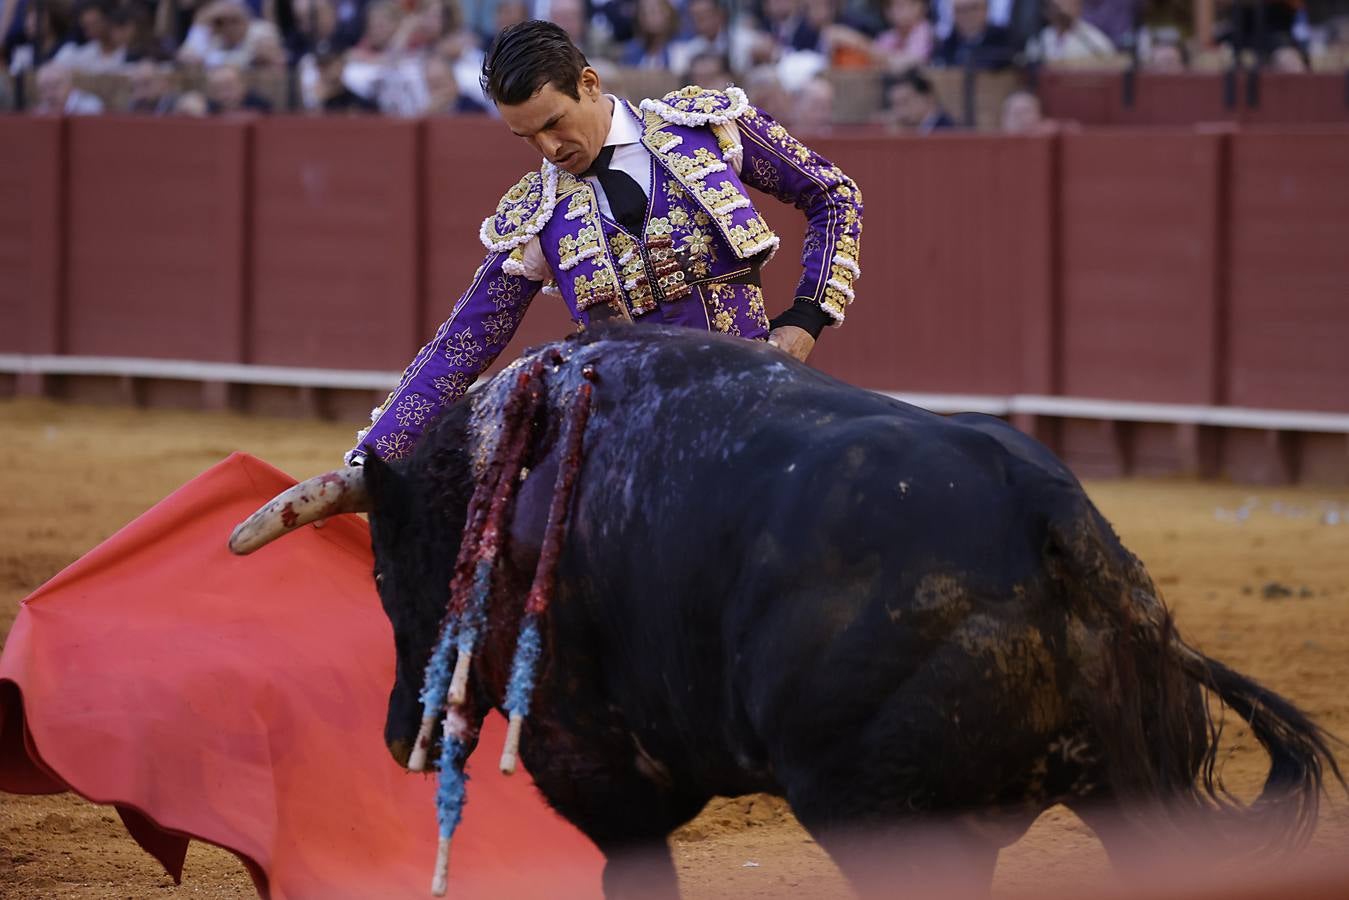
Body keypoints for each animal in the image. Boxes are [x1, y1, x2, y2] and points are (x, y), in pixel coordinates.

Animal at [253, 327, 1338, 895]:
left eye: (387, 574)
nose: (398, 734)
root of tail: (1044, 513)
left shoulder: (592, 762)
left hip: (878, 816)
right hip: (1128, 790)